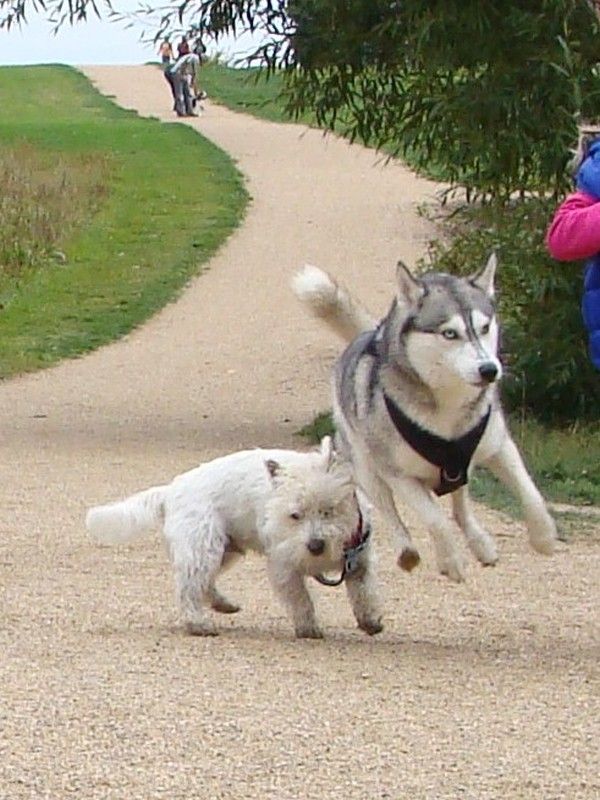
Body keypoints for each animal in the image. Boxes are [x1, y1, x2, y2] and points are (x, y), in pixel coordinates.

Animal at [86, 438, 382, 636]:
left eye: (329, 510)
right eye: (295, 515)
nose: (315, 546)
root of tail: (171, 490)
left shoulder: (358, 561)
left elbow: (364, 592)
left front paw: (371, 621)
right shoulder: (283, 566)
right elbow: (301, 599)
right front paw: (308, 628)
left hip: (224, 550)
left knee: (204, 584)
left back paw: (224, 604)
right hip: (204, 546)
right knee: (188, 588)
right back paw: (198, 624)